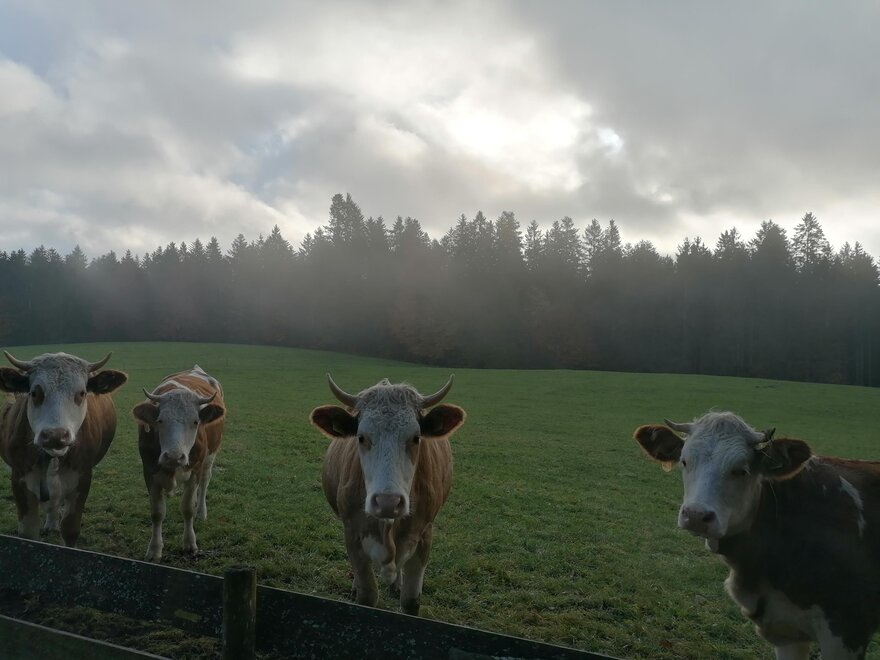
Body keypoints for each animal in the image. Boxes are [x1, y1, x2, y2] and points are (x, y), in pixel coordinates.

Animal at [0, 351, 127, 547]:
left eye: (82, 393)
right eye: (34, 392)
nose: (55, 435)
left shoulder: (82, 478)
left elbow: (70, 529)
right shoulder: (19, 479)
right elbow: (28, 532)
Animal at [132, 366, 225, 562]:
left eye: (195, 422)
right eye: (160, 421)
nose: (174, 457)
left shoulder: (195, 470)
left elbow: (187, 508)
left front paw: (190, 543)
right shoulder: (149, 472)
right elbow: (157, 512)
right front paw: (154, 549)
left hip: (210, 457)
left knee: (204, 482)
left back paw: (201, 512)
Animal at [309, 374, 466, 615]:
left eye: (416, 437)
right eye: (361, 437)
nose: (387, 502)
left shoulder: (424, 536)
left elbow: (411, 601)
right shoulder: (353, 534)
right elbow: (367, 595)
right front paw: (359, 588)